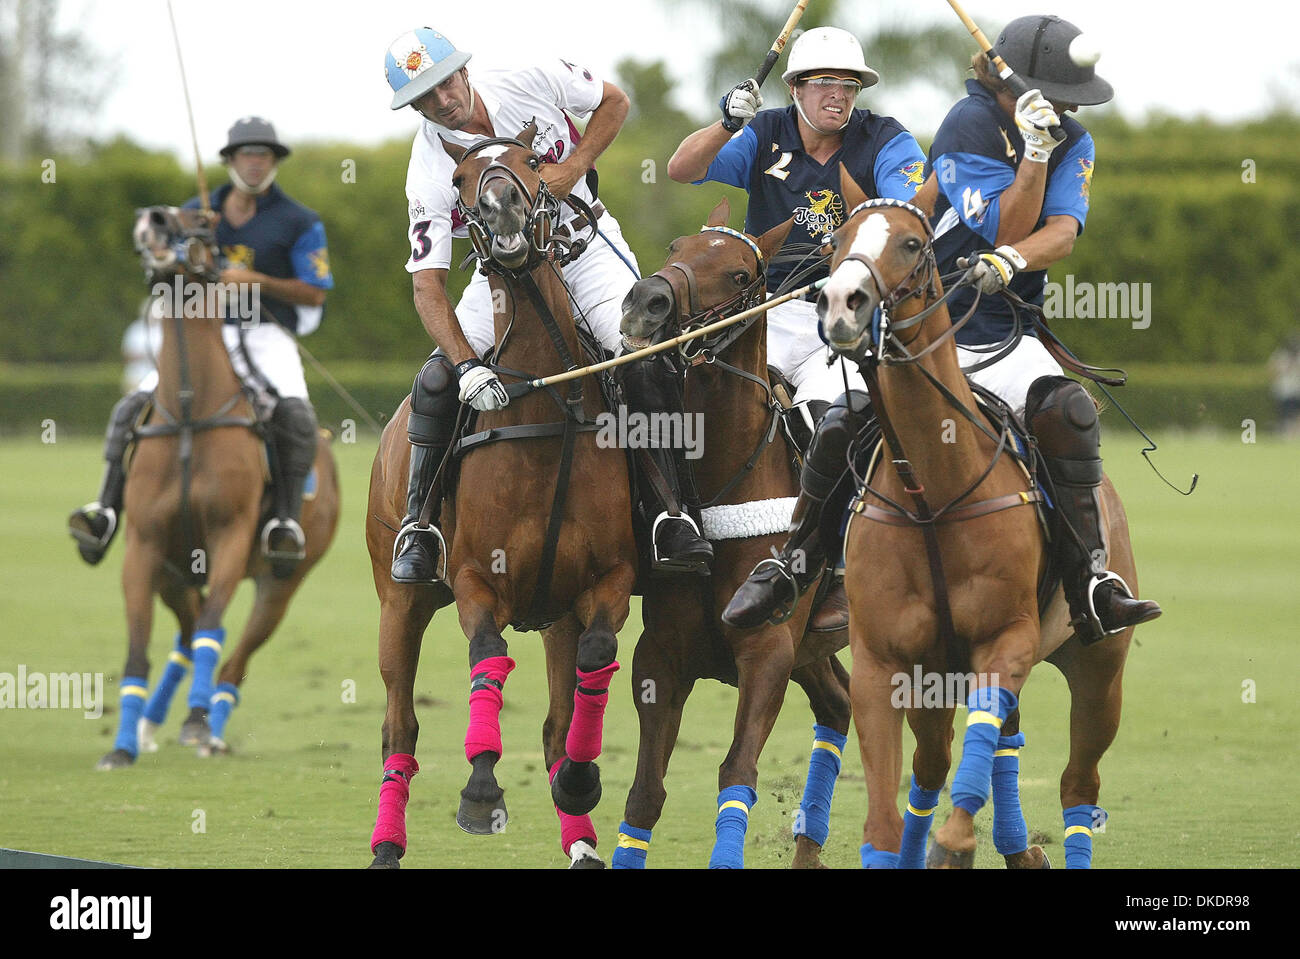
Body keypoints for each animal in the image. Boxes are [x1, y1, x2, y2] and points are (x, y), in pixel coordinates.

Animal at [97, 207, 340, 769]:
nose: (151, 221)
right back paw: (150, 723)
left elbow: (212, 630)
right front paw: (121, 746)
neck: (190, 411)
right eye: (163, 207)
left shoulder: (230, 536)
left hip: (281, 581)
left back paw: (210, 723)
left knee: (233, 650)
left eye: (202, 221)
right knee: (186, 635)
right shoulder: (144, 546)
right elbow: (139, 648)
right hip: (174, 572)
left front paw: (196, 722)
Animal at [364, 119, 637, 868]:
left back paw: (582, 842)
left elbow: (592, 670)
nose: (504, 212)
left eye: (531, 163)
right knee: (399, 728)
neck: (547, 404)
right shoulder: (476, 580)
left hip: (555, 613)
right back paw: (386, 845)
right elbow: (488, 659)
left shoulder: (606, 579)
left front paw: (581, 781)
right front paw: (482, 792)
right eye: (459, 182)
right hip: (400, 601)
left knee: (554, 721)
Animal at [613, 200, 857, 868]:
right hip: (812, 650)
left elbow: (736, 772)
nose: (645, 302)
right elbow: (645, 791)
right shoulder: (662, 654)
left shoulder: (767, 652)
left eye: (743, 274)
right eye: (677, 245)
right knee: (840, 702)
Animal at [816, 194, 1144, 868]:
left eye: (912, 244)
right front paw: (922, 846)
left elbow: (978, 761)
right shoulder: (881, 662)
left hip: (1100, 664)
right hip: (938, 679)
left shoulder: (1007, 638)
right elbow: (884, 821)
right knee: (938, 760)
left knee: (1078, 781)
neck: (931, 496)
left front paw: (956, 843)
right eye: (838, 239)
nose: (840, 304)